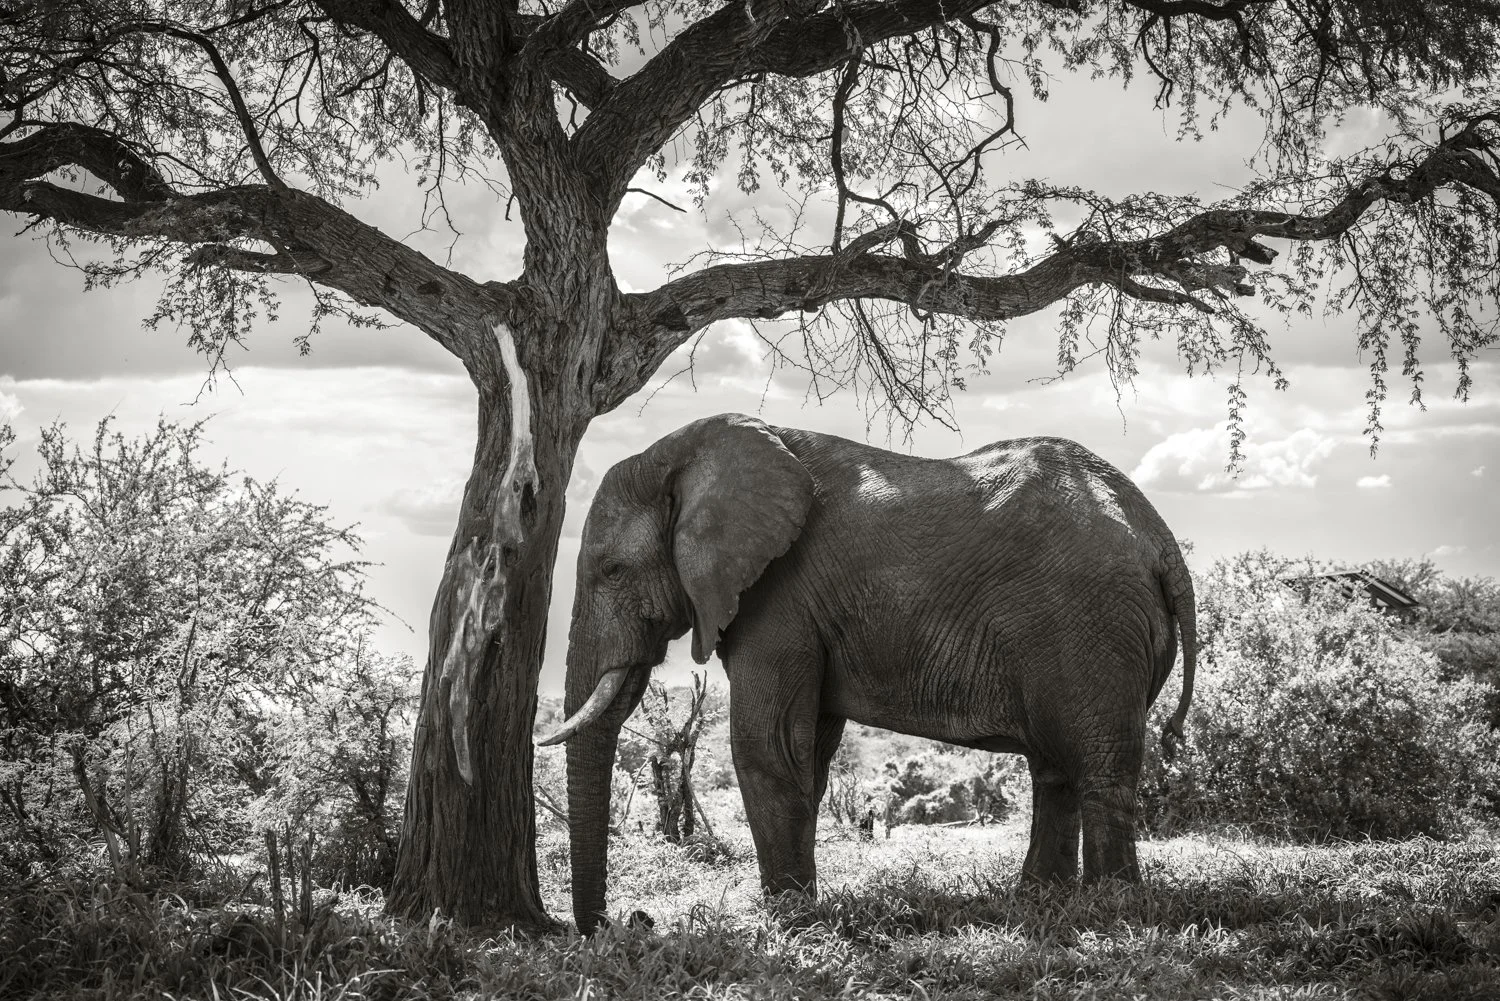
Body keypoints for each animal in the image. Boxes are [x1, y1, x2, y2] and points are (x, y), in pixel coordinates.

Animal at [539, 413, 1197, 934]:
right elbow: (809, 753)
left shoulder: (780, 597)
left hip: (1092, 628)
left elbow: (766, 745)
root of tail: (1160, 537)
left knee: (1100, 765)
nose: (628, 922)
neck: (685, 453)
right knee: (1055, 767)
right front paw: (802, 904)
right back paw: (1039, 899)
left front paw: (785, 913)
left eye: (612, 570)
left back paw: (1112, 908)